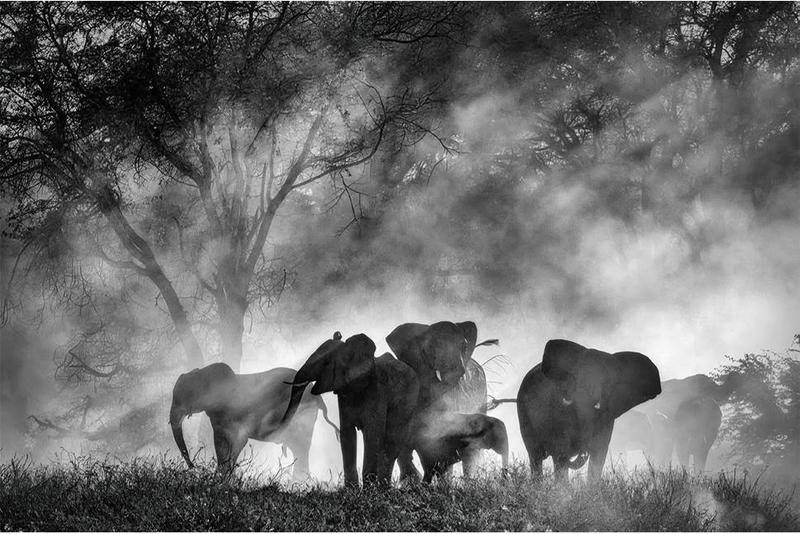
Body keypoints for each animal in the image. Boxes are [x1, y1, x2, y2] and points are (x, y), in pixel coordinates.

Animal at [169, 363, 339, 478]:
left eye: (186, 396)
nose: (194, 467)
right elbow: (221, 443)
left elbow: (237, 441)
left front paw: (223, 478)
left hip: (303, 415)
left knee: (301, 447)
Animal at [281, 332, 419, 488]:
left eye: (326, 363)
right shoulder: (343, 393)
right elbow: (347, 434)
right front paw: (351, 489)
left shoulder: (377, 391)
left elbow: (372, 434)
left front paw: (368, 489)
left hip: (409, 401)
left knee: (392, 440)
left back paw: (384, 487)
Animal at [517, 339, 661, 482]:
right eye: (576, 377)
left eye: (607, 382)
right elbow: (561, 450)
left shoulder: (607, 414)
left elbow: (599, 453)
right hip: (523, 412)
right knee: (535, 456)